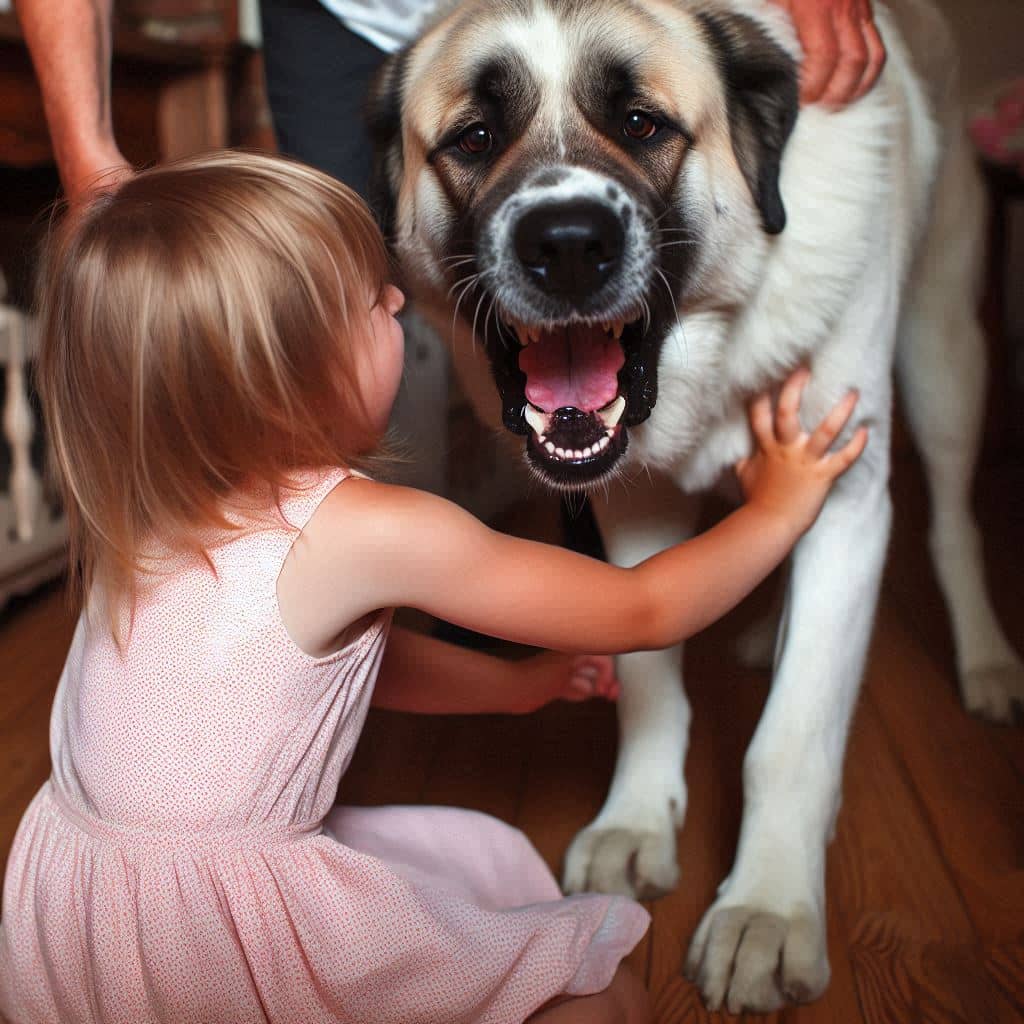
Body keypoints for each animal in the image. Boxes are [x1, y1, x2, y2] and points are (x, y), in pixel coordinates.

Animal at [368, 0, 1024, 1007]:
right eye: (474, 138)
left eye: (644, 125)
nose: (566, 246)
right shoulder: (634, 507)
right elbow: (649, 678)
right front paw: (638, 821)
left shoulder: (847, 491)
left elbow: (793, 735)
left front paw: (769, 911)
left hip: (946, 356)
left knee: (954, 523)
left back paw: (985, 659)